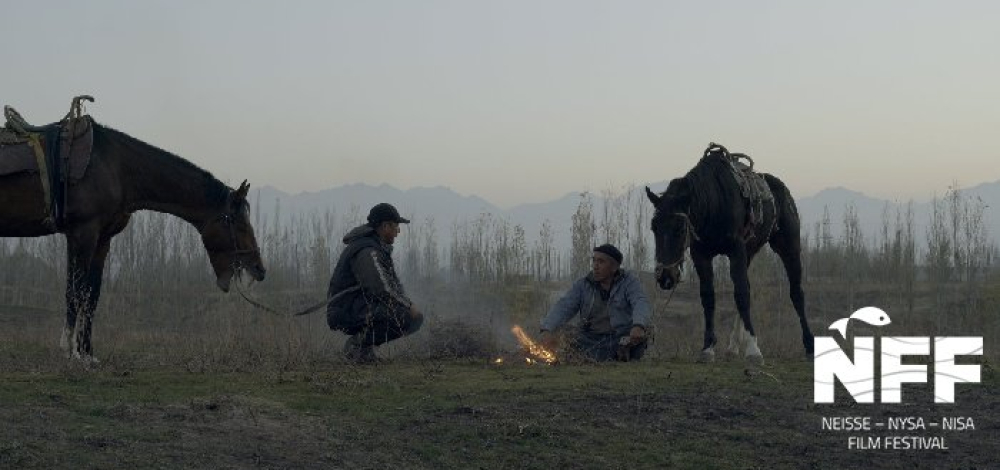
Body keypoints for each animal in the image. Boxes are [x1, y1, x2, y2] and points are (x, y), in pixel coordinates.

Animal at [0, 114, 266, 360]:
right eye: (239, 223)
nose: (259, 269)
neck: (115, 168)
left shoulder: (102, 239)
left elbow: (91, 294)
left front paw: (87, 352)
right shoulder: (82, 234)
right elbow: (75, 292)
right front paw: (70, 350)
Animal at [648, 143, 812, 364]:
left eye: (680, 228)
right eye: (654, 227)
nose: (666, 277)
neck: (714, 204)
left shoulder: (735, 251)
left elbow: (741, 294)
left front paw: (754, 350)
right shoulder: (701, 255)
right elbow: (709, 297)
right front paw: (708, 348)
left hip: (789, 247)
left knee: (796, 292)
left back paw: (809, 344)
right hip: (749, 252)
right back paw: (733, 347)